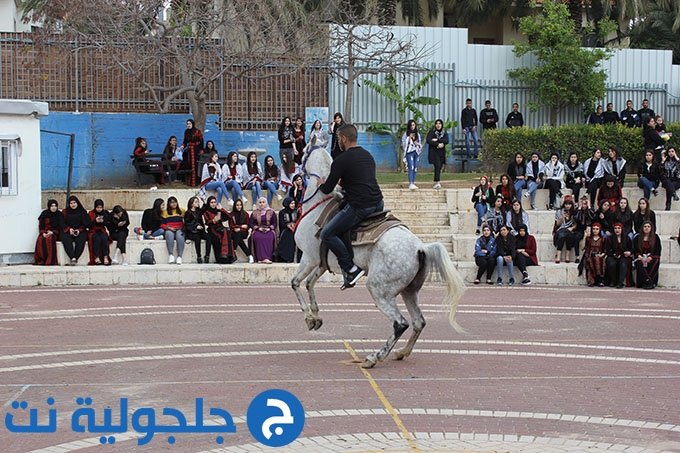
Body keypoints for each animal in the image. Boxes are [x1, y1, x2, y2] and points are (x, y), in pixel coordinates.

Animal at [290, 135, 464, 368]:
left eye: (303, 152)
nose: (295, 170)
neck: (319, 204)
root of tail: (421, 247)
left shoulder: (309, 258)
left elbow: (296, 283)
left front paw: (309, 318)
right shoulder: (322, 262)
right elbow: (309, 283)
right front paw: (316, 317)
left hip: (380, 290)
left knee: (400, 323)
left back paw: (374, 357)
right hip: (409, 291)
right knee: (419, 322)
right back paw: (402, 352)